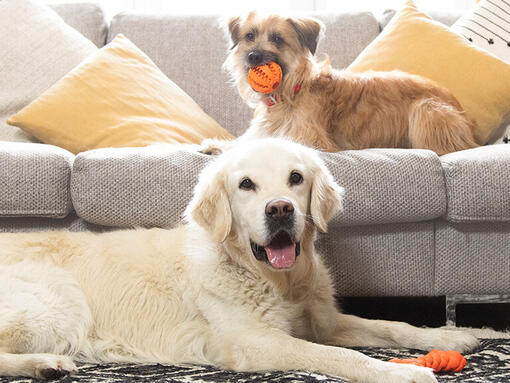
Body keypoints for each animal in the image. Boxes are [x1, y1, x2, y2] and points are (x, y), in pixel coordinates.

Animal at [0, 140, 478, 382]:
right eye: (246, 184)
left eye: (296, 178)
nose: (280, 209)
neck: (278, 281)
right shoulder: (256, 342)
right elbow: (335, 356)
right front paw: (400, 374)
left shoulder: (323, 320)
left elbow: (392, 325)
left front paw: (458, 335)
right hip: (60, 302)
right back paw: (44, 364)